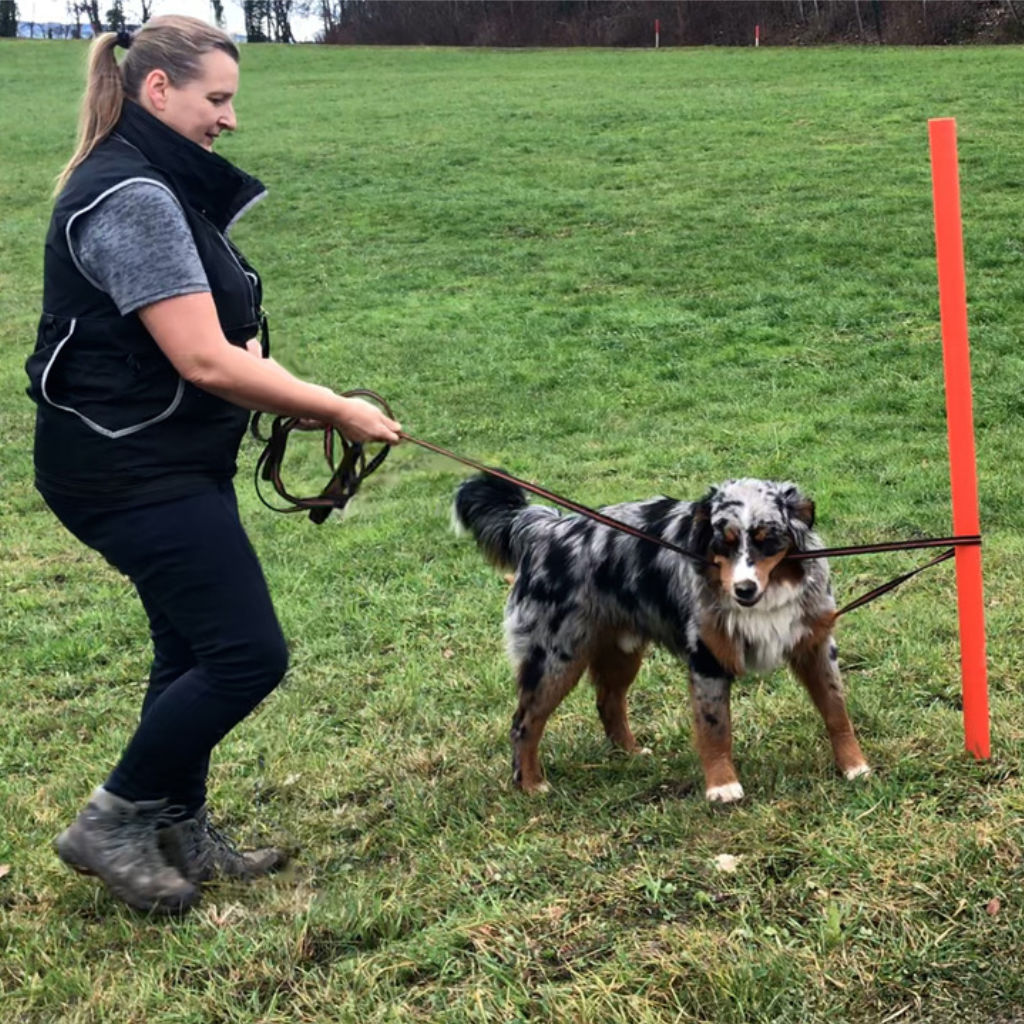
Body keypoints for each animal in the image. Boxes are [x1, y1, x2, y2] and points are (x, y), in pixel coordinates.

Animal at [452, 471, 868, 798]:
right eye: (723, 543)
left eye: (768, 539)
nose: (744, 590)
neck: (770, 591)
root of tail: (546, 529)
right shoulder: (706, 659)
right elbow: (716, 727)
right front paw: (723, 786)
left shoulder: (815, 645)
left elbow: (836, 711)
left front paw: (854, 766)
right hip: (555, 658)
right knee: (524, 722)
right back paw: (530, 783)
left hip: (620, 652)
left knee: (607, 702)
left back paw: (630, 754)